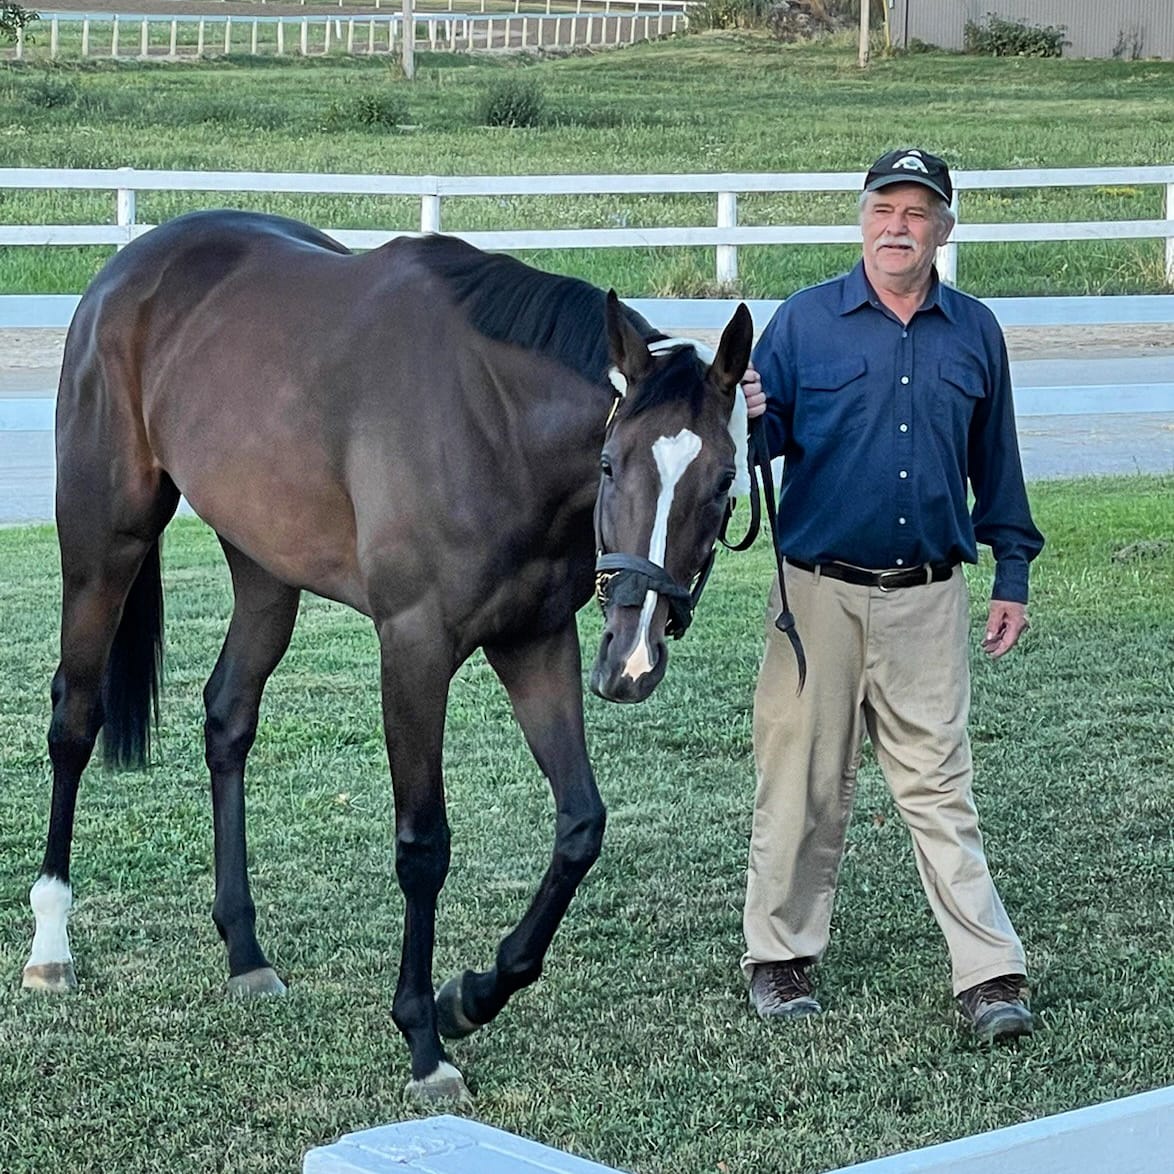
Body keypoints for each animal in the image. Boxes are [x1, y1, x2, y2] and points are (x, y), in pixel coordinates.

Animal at [22, 211, 756, 1098]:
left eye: (723, 483)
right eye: (611, 463)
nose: (632, 661)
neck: (495, 422)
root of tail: (132, 265)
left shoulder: (535, 642)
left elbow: (581, 825)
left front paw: (471, 996)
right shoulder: (414, 647)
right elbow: (423, 845)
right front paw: (422, 1038)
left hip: (264, 568)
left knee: (227, 720)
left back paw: (245, 951)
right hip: (105, 541)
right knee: (74, 720)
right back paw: (50, 944)